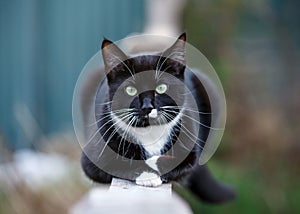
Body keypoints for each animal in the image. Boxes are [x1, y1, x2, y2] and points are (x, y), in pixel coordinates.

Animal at [81, 33, 236, 202]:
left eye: (161, 88)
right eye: (130, 90)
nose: (147, 107)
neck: (150, 132)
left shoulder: (190, 147)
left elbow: (183, 161)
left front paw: (153, 164)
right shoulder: (93, 157)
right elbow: (117, 162)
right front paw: (148, 174)